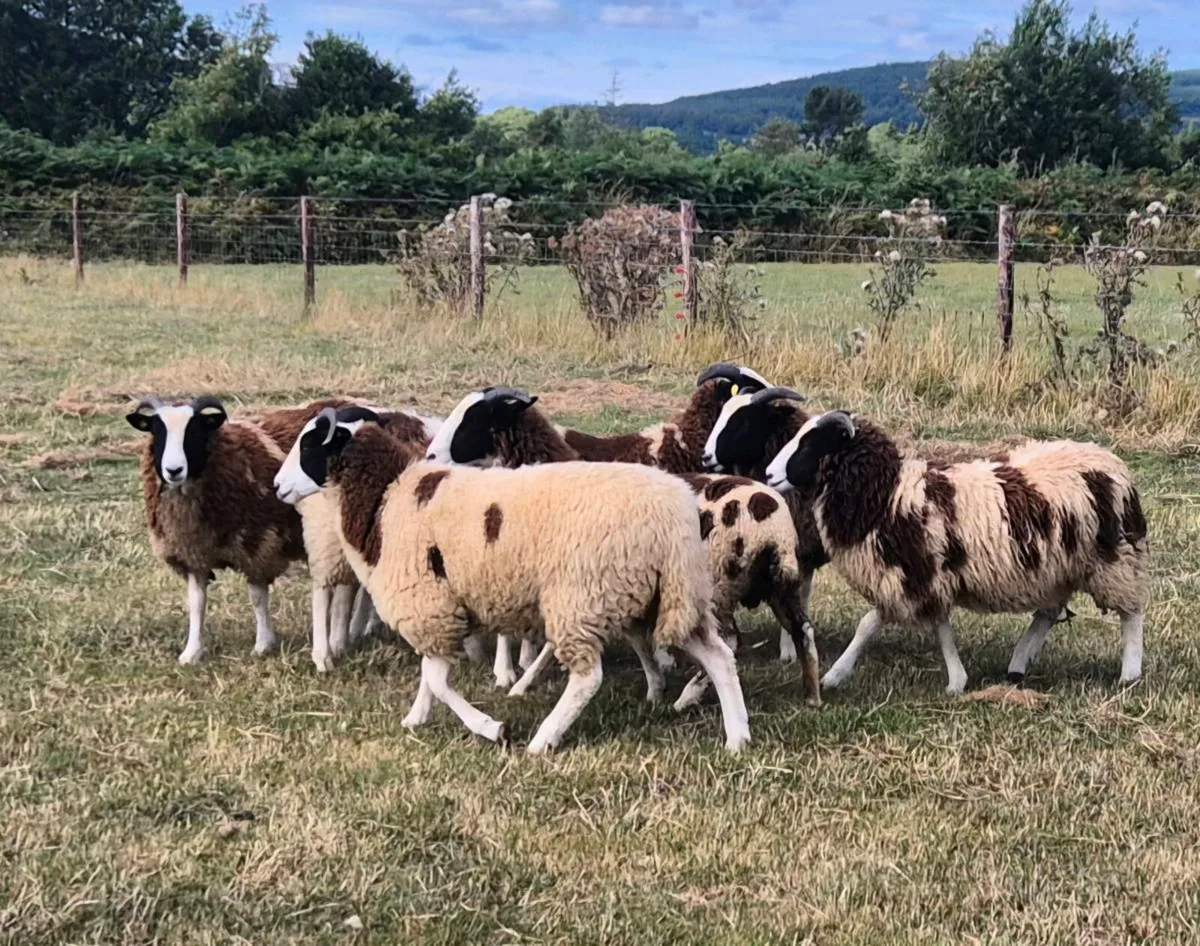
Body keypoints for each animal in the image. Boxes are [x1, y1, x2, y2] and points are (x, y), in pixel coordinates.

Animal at [126, 395, 307, 665]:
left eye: (194, 430)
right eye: (157, 431)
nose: (173, 470)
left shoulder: (259, 545)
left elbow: (257, 598)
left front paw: (263, 644)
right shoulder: (193, 554)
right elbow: (196, 602)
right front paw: (191, 653)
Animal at [424, 386, 821, 706]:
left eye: (474, 419)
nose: (429, 457)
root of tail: (771, 522)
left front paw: (520, 683)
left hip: (718, 587)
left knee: (730, 641)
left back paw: (690, 695)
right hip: (777, 584)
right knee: (802, 632)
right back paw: (811, 694)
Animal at [758, 410, 1150, 692]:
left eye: (811, 443)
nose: (768, 474)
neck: (885, 494)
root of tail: (1111, 461)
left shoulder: (913, 574)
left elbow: (884, 625)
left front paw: (836, 675)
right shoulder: (916, 576)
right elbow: (915, 625)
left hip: (1113, 560)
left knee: (1131, 614)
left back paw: (1129, 673)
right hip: (1059, 567)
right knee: (1049, 612)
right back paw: (1018, 663)